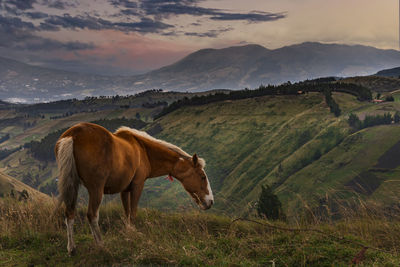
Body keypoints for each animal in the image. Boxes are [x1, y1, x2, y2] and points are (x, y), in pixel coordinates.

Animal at [55, 122, 216, 254]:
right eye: (202, 176)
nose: (210, 202)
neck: (143, 150)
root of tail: (72, 135)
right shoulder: (137, 186)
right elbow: (132, 213)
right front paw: (134, 235)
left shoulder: (124, 190)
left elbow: (127, 213)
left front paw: (129, 232)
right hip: (96, 189)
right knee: (92, 215)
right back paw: (100, 244)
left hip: (73, 185)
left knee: (69, 213)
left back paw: (72, 248)